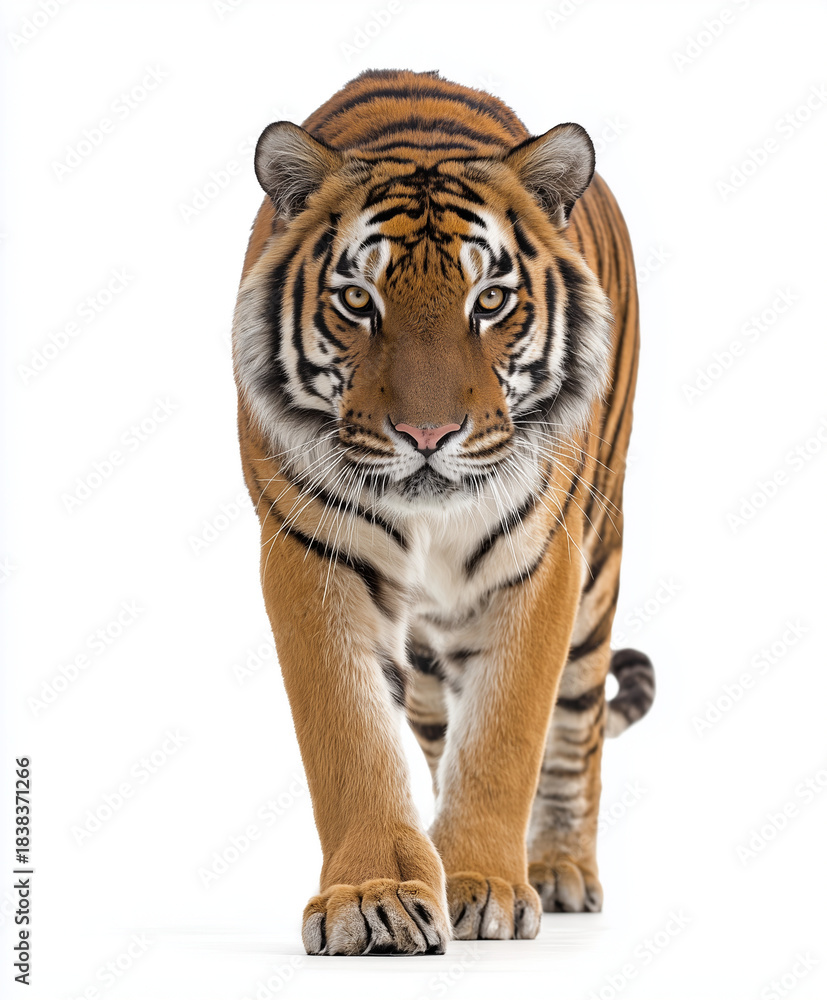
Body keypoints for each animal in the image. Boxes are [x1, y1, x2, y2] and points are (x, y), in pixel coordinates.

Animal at [232, 68, 655, 956]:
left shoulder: (541, 562)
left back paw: (560, 869)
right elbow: (349, 735)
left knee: (577, 723)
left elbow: (505, 735)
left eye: (489, 300)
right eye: (356, 300)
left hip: (597, 567)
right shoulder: (309, 555)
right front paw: (374, 895)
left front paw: (486, 885)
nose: (427, 436)